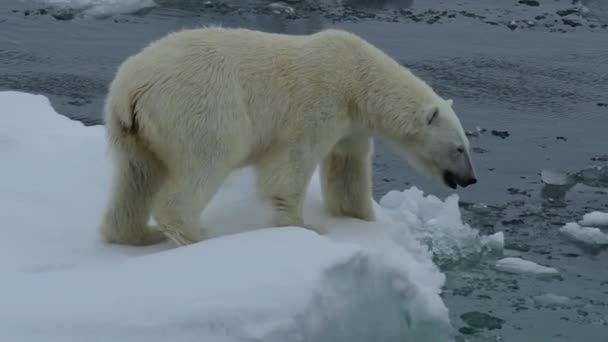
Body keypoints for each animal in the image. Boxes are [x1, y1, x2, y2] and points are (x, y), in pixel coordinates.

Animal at [100, 26, 478, 246]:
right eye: (459, 148)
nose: (471, 179)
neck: (358, 80)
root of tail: (131, 88)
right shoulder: (319, 102)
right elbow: (293, 163)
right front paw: (306, 228)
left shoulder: (352, 127)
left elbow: (347, 172)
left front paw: (361, 219)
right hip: (199, 104)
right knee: (211, 156)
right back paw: (196, 234)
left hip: (130, 131)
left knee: (135, 177)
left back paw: (138, 234)